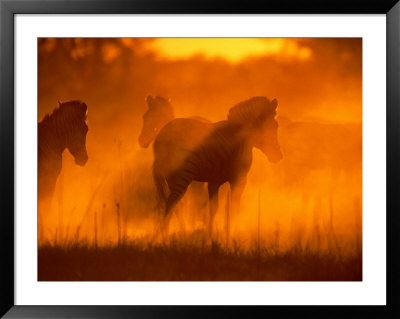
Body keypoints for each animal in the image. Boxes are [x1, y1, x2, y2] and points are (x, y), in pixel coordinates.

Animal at [152, 96, 282, 236]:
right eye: (275, 126)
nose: (279, 156)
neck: (244, 135)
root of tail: (161, 137)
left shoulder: (214, 181)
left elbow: (214, 208)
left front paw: (211, 234)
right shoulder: (239, 178)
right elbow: (234, 206)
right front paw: (232, 231)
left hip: (171, 177)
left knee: (175, 205)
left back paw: (180, 232)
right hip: (183, 172)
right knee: (172, 203)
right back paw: (166, 234)